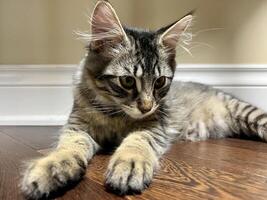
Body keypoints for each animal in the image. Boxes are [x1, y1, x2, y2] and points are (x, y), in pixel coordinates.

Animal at [21, 1, 267, 198]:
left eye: (160, 82)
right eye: (128, 81)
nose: (147, 107)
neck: (114, 113)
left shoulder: (155, 125)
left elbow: (137, 142)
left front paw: (130, 165)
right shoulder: (77, 127)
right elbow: (68, 148)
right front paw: (50, 168)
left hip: (247, 113)